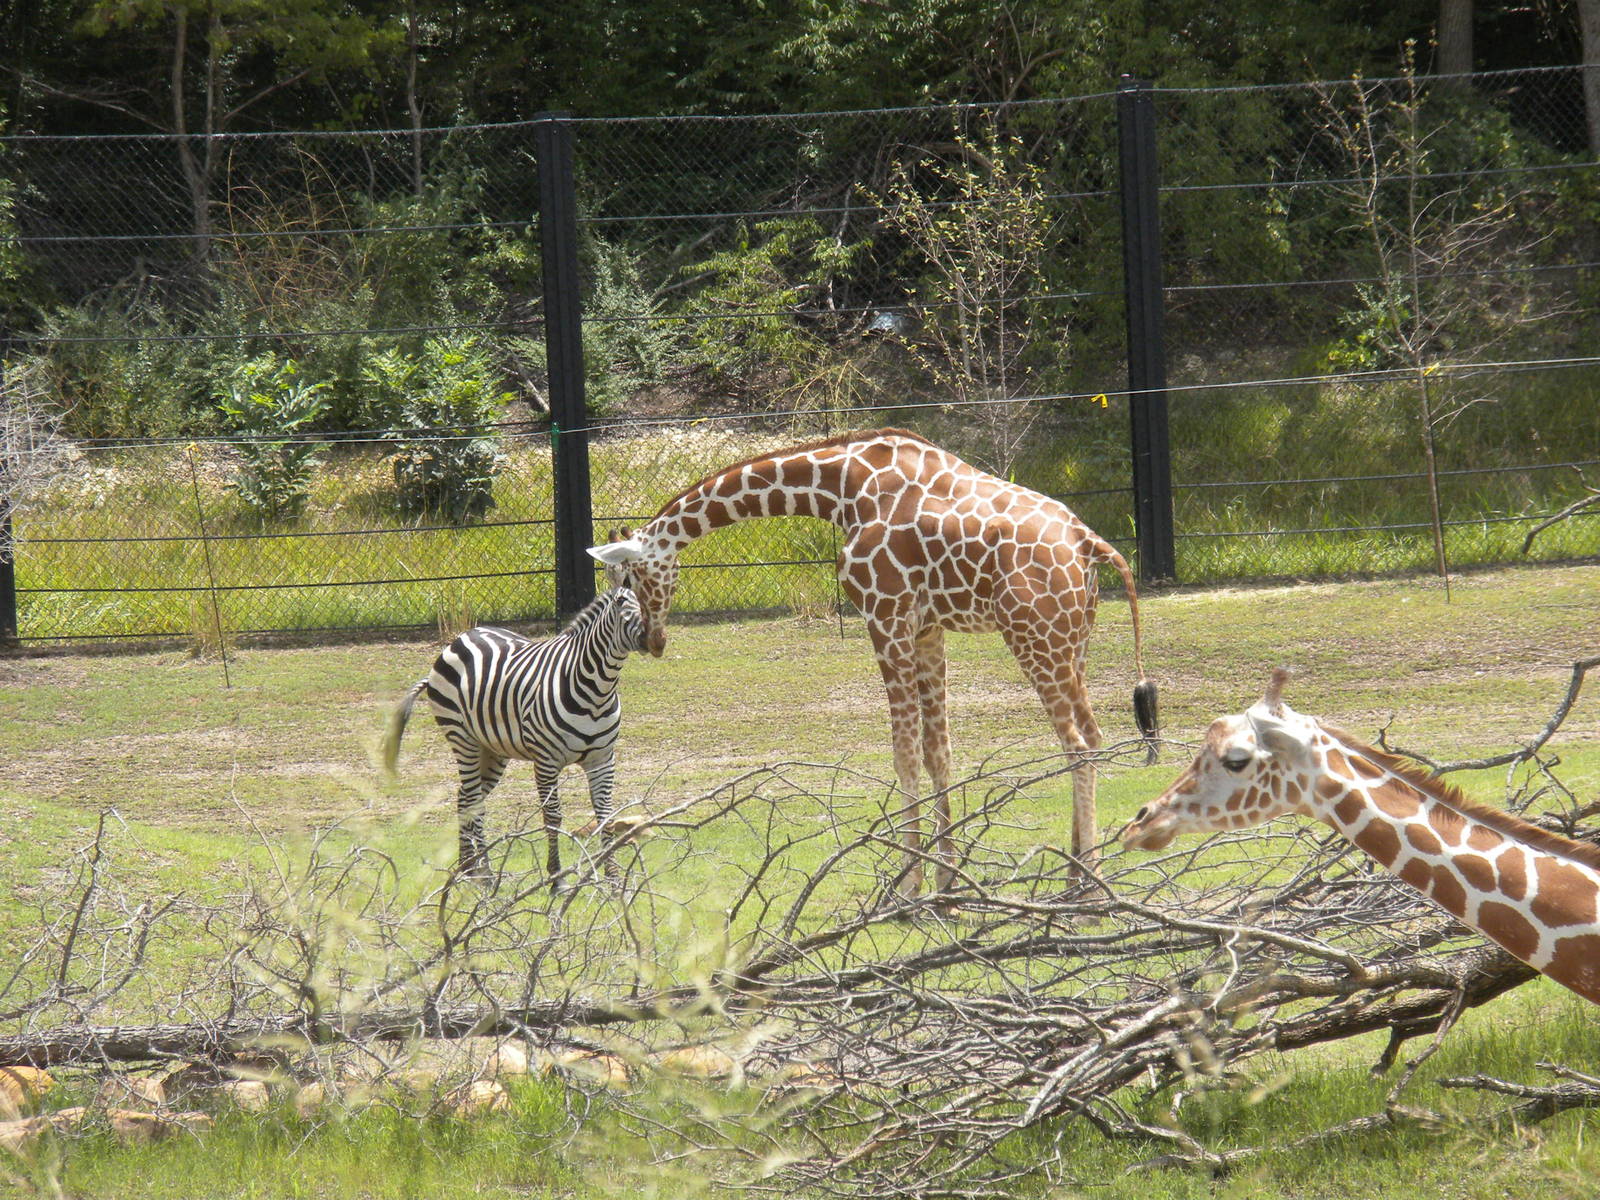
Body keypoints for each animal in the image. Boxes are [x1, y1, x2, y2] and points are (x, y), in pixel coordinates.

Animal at [383, 584, 647, 882]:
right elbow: (552, 818)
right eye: (624, 610)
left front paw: (614, 881)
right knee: (473, 801)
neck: (596, 692)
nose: (654, 638)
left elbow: (605, 816)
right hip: (462, 738)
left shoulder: (602, 759)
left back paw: (467, 869)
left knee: (465, 798)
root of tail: (460, 638)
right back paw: (484, 875)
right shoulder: (546, 761)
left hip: (493, 750)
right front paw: (557, 879)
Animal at [588, 427, 1159, 896]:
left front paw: (908, 889)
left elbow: (903, 752)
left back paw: (1087, 893)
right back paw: (1077, 877)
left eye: (630, 577)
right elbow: (937, 751)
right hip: (1072, 640)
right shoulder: (926, 628)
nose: (653, 642)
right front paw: (948, 884)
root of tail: (1089, 542)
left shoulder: (884, 616)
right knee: (1094, 737)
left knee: (1077, 743)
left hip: (1033, 637)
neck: (842, 488)